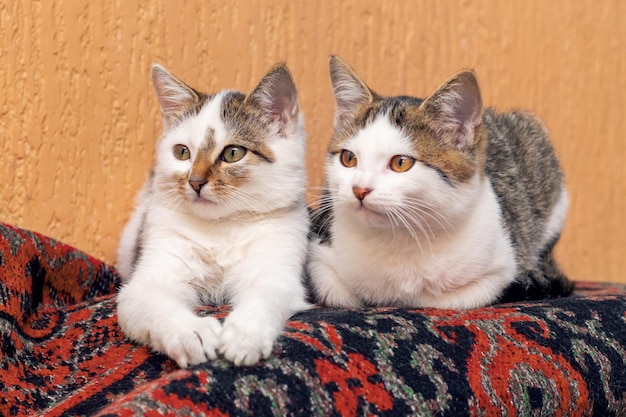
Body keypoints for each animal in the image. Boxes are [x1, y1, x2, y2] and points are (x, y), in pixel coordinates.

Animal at [115, 62, 310, 368]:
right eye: (182, 152)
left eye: (233, 153)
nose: (195, 182)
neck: (221, 228)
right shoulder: (144, 281)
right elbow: (153, 301)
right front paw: (189, 333)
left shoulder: (278, 265)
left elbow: (265, 296)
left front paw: (245, 335)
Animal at [304, 55, 572, 308]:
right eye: (348, 158)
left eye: (401, 163)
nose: (359, 189)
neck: (400, 237)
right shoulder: (320, 254)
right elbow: (339, 293)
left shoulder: (499, 267)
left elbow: (447, 298)